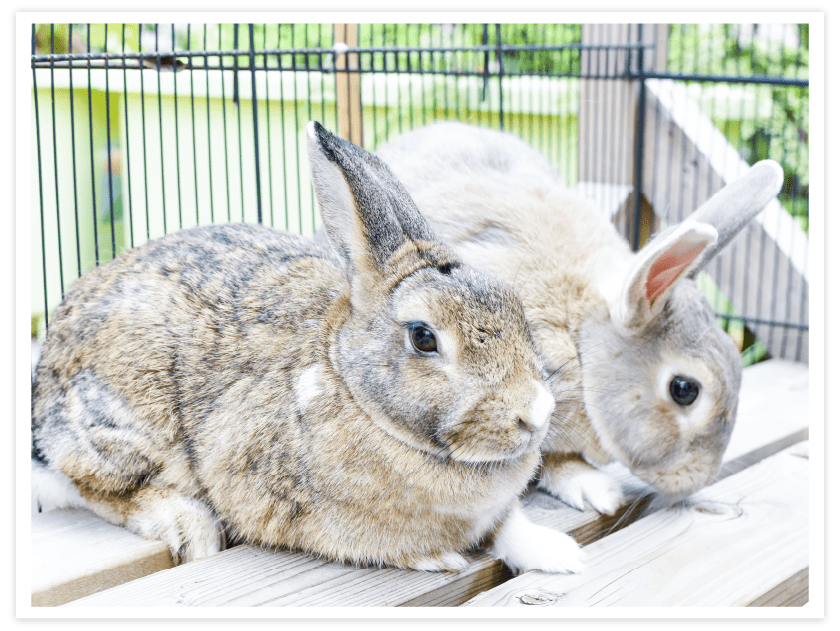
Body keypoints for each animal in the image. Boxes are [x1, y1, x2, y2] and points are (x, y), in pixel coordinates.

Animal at [32, 121, 584, 576]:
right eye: (424, 337)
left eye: (513, 304)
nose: (536, 413)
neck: (350, 386)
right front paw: (438, 558)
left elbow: (510, 525)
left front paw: (562, 556)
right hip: (121, 427)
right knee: (91, 486)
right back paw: (190, 528)